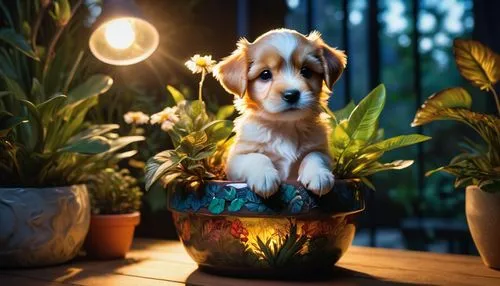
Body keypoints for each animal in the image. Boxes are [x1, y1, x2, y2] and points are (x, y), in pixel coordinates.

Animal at [213, 29, 346, 199]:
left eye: (306, 71)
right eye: (265, 75)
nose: (291, 94)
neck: (285, 127)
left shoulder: (323, 151)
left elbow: (315, 155)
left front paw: (318, 175)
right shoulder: (235, 160)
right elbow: (256, 157)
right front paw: (264, 175)